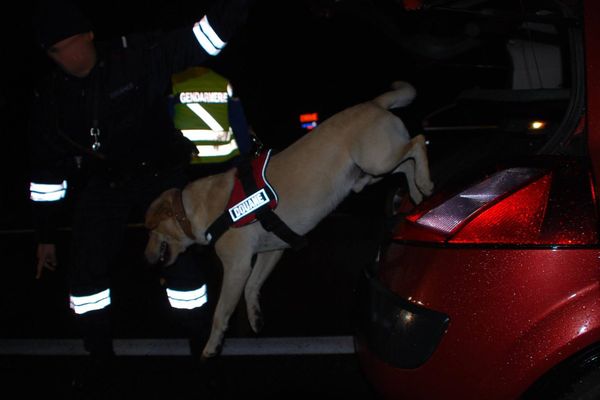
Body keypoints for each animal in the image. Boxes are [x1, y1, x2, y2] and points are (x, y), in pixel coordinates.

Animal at [144, 80, 434, 356]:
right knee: (404, 165)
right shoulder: (272, 250)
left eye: (151, 230)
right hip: (373, 169)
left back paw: (425, 182)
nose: (146, 258)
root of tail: (373, 103)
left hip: (377, 160)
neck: (198, 210)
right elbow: (252, 287)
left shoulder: (237, 266)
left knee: (418, 142)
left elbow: (220, 312)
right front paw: (255, 316)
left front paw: (212, 346)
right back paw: (416, 191)